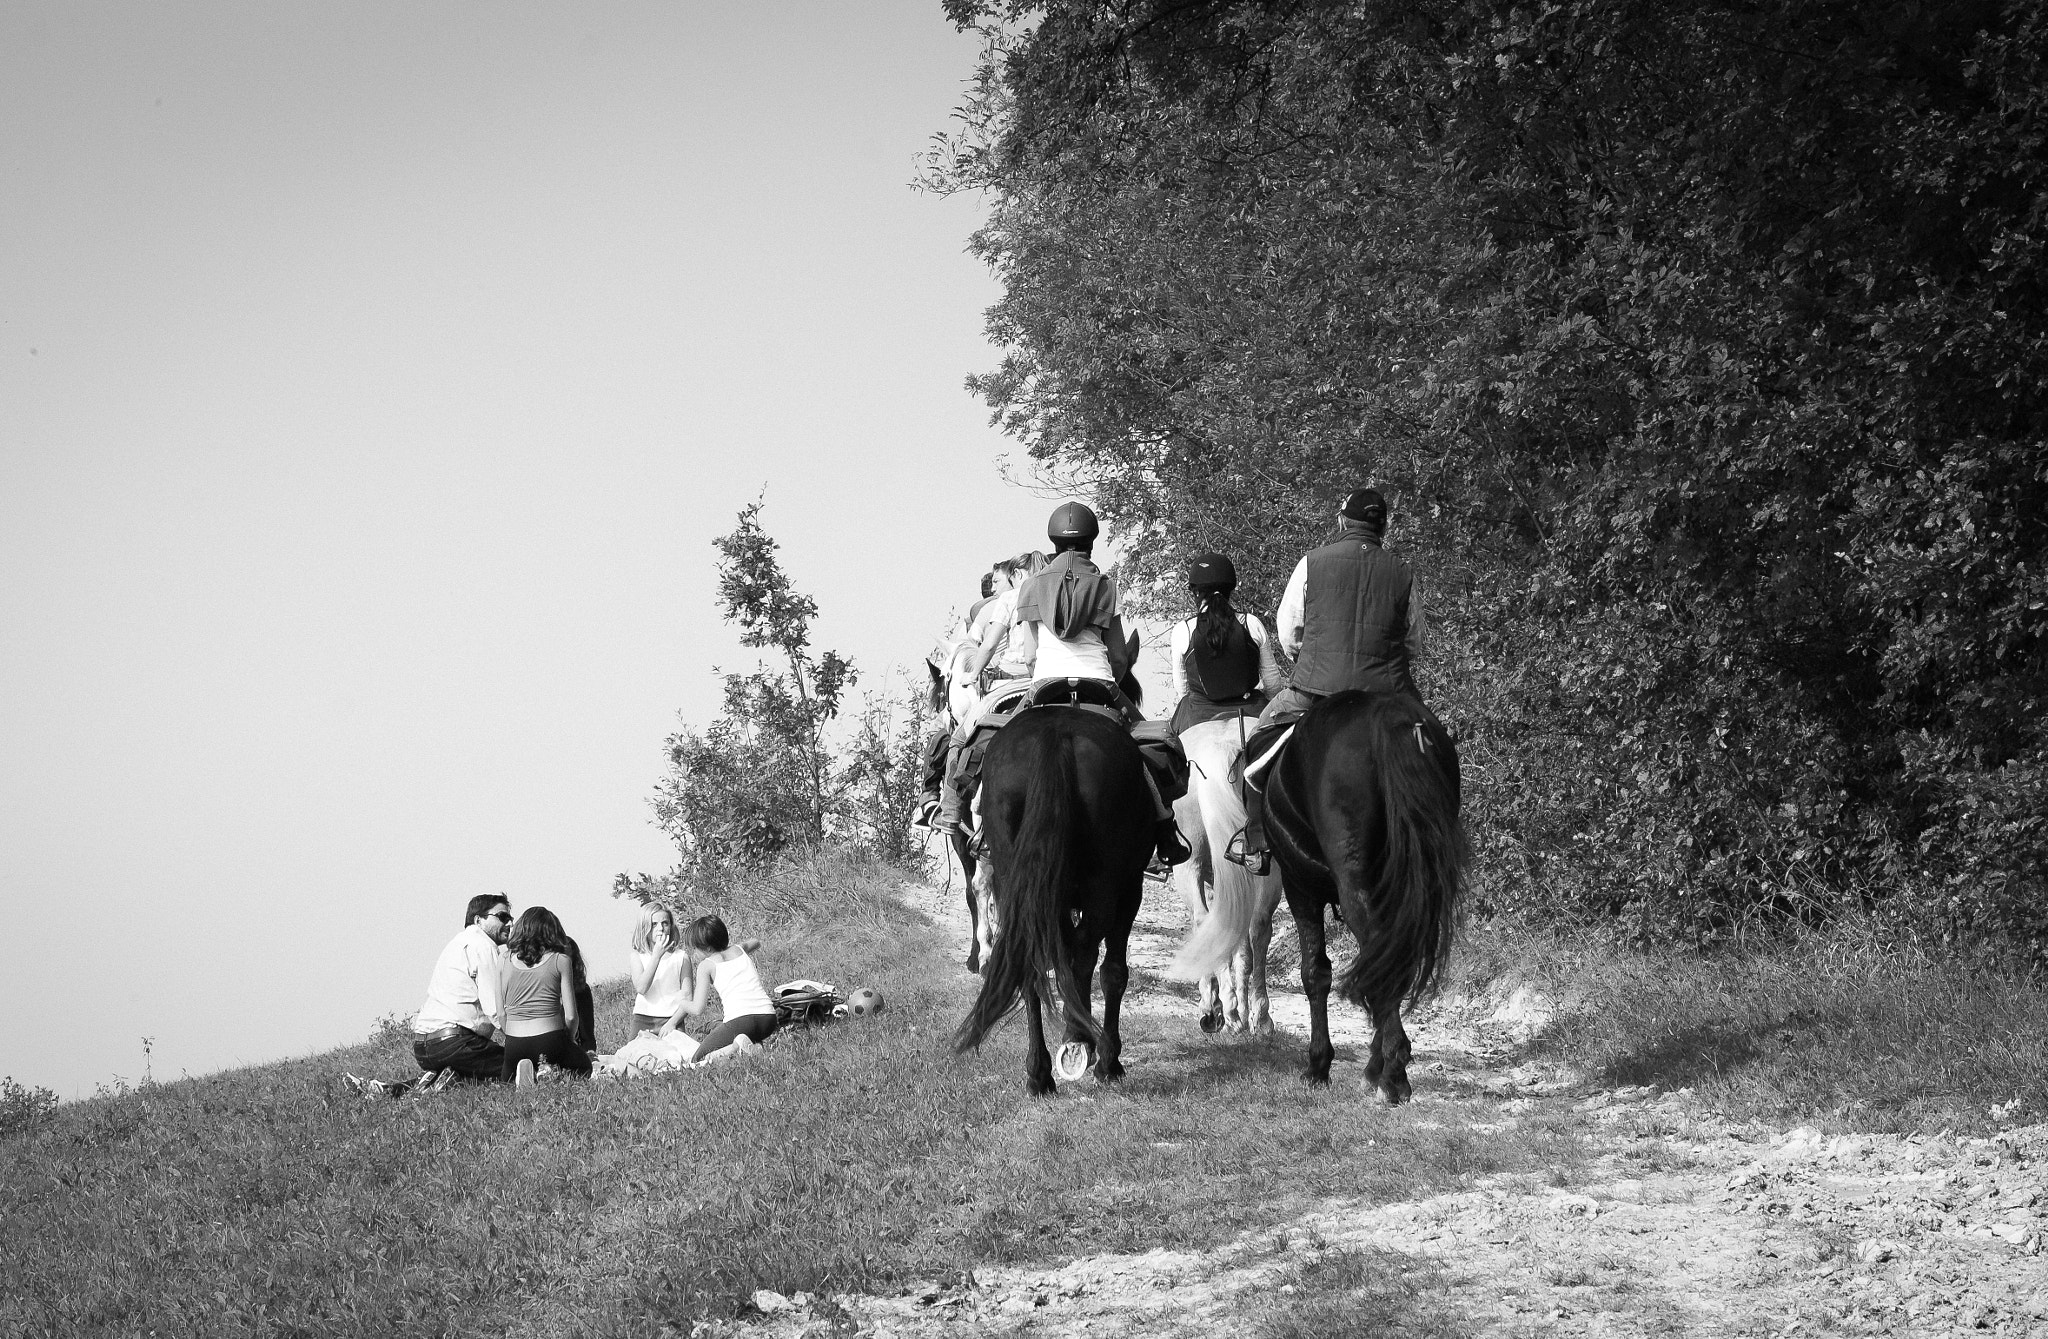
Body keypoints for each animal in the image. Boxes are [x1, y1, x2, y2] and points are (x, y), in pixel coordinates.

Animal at [954, 708, 1163, 1097]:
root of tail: (1054, 734)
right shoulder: (1130, 888)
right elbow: (1110, 970)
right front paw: (1104, 1057)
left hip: (1018, 882)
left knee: (1031, 964)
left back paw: (1040, 1073)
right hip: (1107, 886)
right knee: (1087, 956)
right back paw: (1083, 1047)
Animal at [1171, 720, 1277, 1031]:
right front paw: (1242, 1007)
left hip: (1188, 865)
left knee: (1206, 920)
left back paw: (1220, 1008)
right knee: (1258, 926)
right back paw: (1258, 1017)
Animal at [1269, 692, 1466, 1105]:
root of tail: (1395, 719)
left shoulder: (1299, 887)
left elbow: (1315, 973)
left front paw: (1318, 1065)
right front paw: (1372, 1062)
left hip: (1351, 884)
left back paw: (1393, 1074)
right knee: (1390, 962)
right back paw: (1389, 1067)